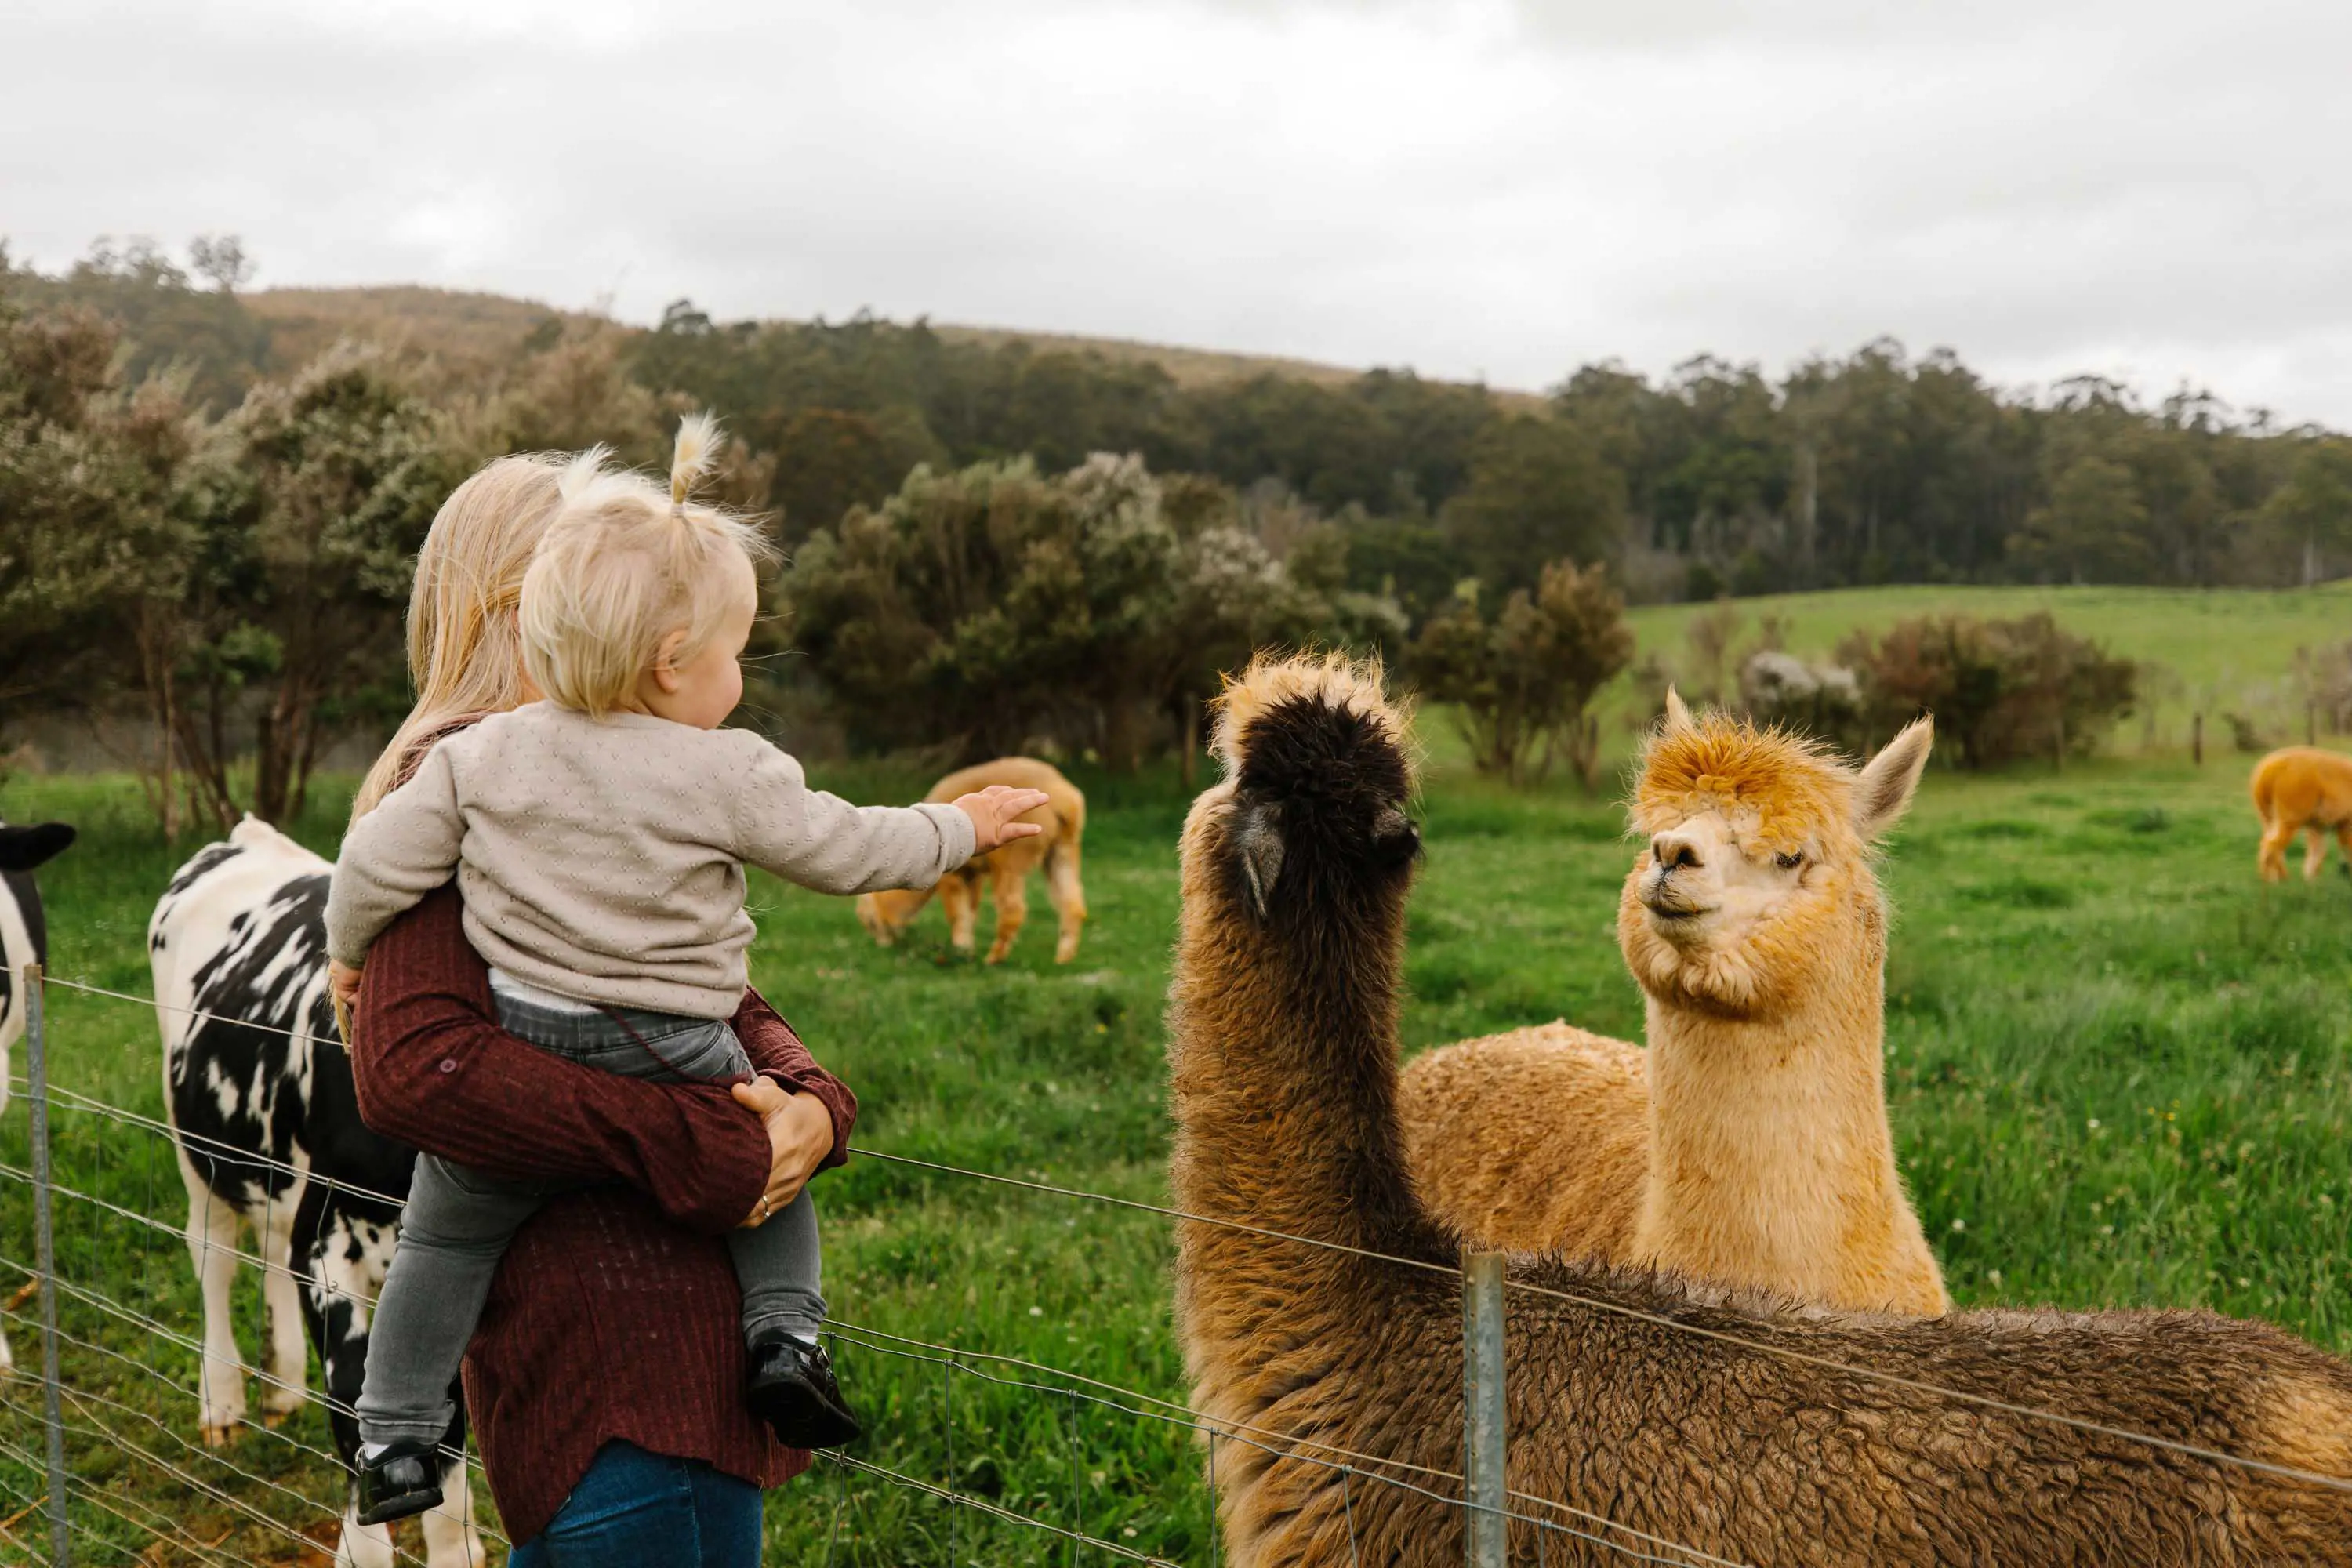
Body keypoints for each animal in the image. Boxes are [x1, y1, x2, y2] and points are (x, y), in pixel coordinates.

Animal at [153, 822, 482, 1568]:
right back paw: (223, 1399)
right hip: (196, 1148)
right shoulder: (330, 1241)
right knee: (214, 1254)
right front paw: (362, 1549)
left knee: (267, 1250)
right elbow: (361, 1411)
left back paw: (282, 1386)